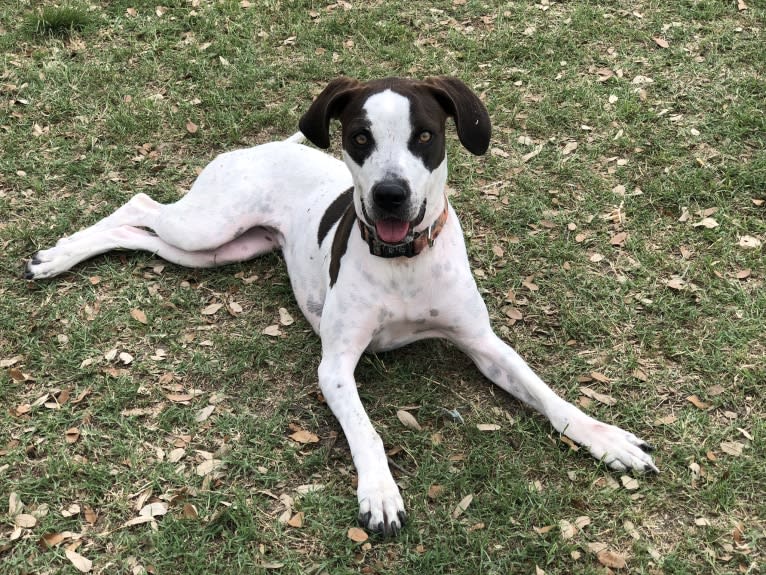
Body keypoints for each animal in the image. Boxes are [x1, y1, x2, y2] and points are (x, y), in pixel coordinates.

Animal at [25, 76, 660, 536]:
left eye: (424, 137)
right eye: (359, 138)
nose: (390, 194)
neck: (403, 260)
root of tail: (263, 147)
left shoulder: (485, 345)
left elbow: (550, 397)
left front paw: (607, 439)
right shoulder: (335, 367)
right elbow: (366, 430)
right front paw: (379, 491)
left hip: (220, 249)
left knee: (139, 231)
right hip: (208, 227)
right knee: (138, 205)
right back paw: (56, 256)